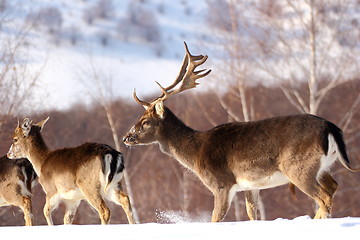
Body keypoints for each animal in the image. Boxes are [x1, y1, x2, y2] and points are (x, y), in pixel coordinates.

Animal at [122, 42, 358, 222]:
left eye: (145, 121)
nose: (126, 137)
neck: (196, 152)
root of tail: (331, 128)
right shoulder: (250, 186)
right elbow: (252, 215)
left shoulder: (221, 183)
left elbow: (215, 219)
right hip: (322, 166)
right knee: (333, 187)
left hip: (299, 167)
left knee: (323, 197)